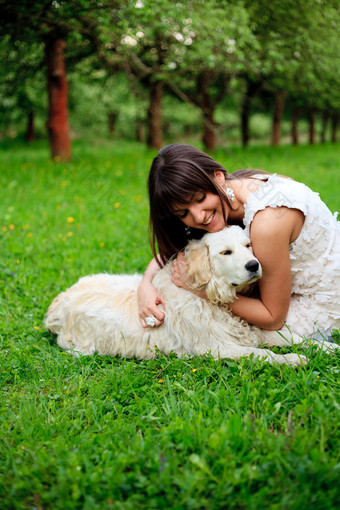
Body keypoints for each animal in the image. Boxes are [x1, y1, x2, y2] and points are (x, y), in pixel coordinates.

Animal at [46, 225, 312, 364]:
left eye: (248, 246)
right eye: (226, 252)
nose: (254, 265)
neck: (213, 299)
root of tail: (57, 304)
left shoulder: (253, 329)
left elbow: (293, 337)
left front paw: (322, 347)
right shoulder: (218, 347)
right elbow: (263, 353)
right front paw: (294, 359)